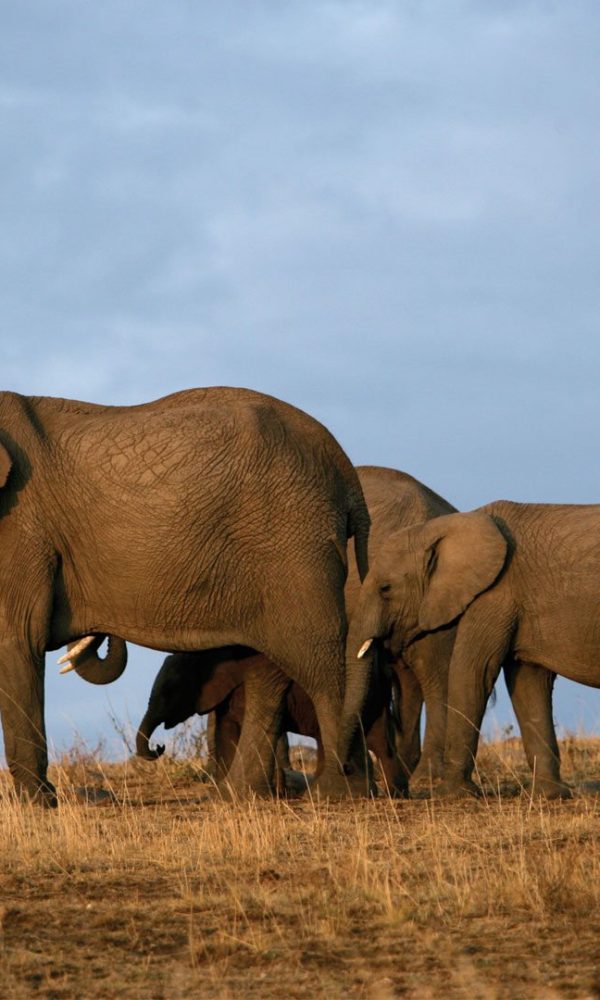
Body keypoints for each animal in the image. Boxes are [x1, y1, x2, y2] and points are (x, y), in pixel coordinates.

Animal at [0, 386, 370, 805]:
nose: (160, 749)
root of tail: (346, 471)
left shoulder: (20, 528)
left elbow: (17, 637)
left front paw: (36, 802)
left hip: (295, 543)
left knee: (320, 663)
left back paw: (340, 792)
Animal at [354, 501, 600, 798]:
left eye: (385, 588)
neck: (441, 527)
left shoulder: (495, 593)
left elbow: (472, 672)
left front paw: (453, 794)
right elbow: (529, 682)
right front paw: (549, 795)